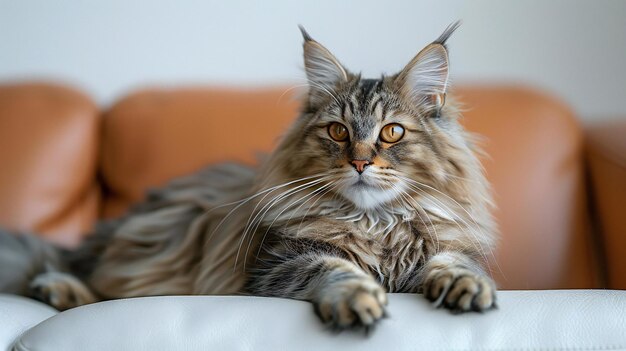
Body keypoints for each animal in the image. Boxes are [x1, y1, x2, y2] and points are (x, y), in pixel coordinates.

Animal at [1, 21, 498, 330]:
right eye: (338, 131)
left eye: (392, 132)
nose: (359, 162)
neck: (374, 224)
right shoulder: (279, 263)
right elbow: (337, 271)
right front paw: (358, 300)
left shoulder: (443, 248)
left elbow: (454, 264)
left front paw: (467, 287)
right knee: (64, 266)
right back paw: (58, 290)